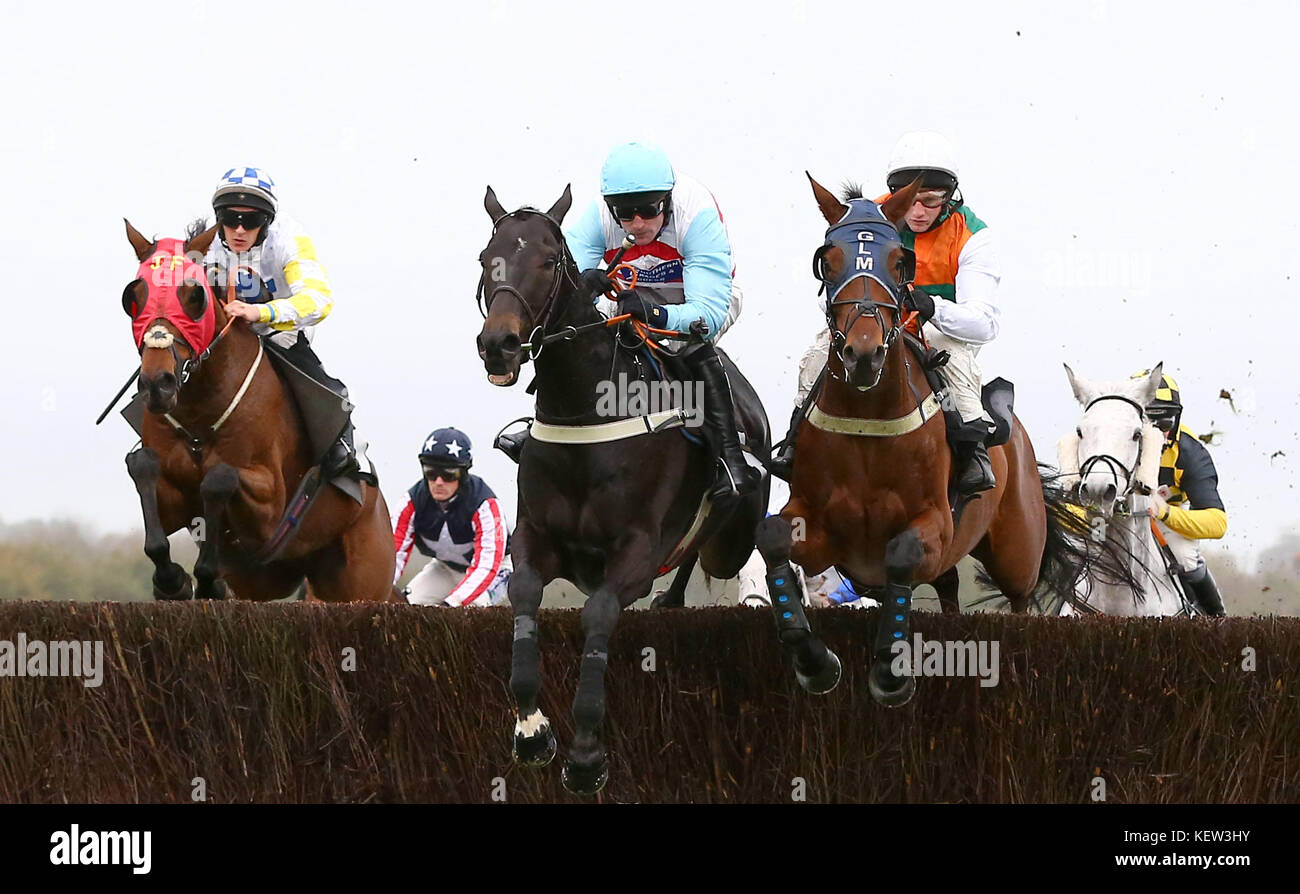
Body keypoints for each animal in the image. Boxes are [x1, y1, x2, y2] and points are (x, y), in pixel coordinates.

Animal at [118, 219, 392, 602]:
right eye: (133, 296)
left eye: (194, 297)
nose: (158, 384)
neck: (199, 415)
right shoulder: (173, 497)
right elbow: (142, 465)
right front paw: (172, 580)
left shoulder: (271, 510)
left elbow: (218, 477)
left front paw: (205, 578)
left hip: (360, 581)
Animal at [478, 184, 780, 795]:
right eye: (484, 259)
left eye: (548, 261)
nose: (499, 345)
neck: (587, 416)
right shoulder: (536, 539)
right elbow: (523, 595)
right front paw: (532, 731)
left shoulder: (637, 552)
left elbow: (598, 614)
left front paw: (586, 756)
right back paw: (673, 600)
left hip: (735, 534)